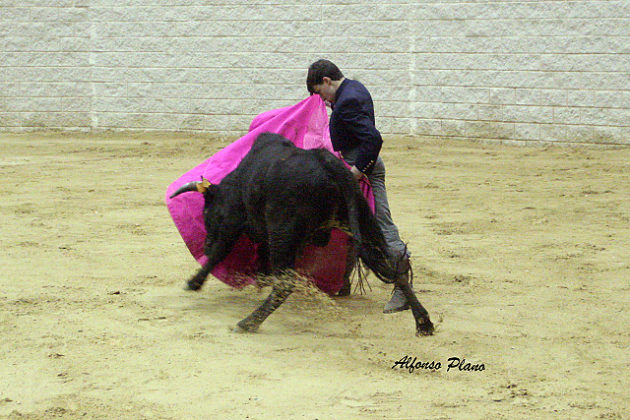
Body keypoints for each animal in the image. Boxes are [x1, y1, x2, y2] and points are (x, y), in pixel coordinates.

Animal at [169, 133, 434, 336]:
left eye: (206, 212)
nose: (204, 244)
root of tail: (329, 165)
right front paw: (260, 278)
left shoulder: (232, 222)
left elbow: (219, 252)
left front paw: (193, 282)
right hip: (363, 222)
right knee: (395, 266)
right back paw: (423, 323)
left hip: (282, 231)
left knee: (285, 284)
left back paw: (248, 323)